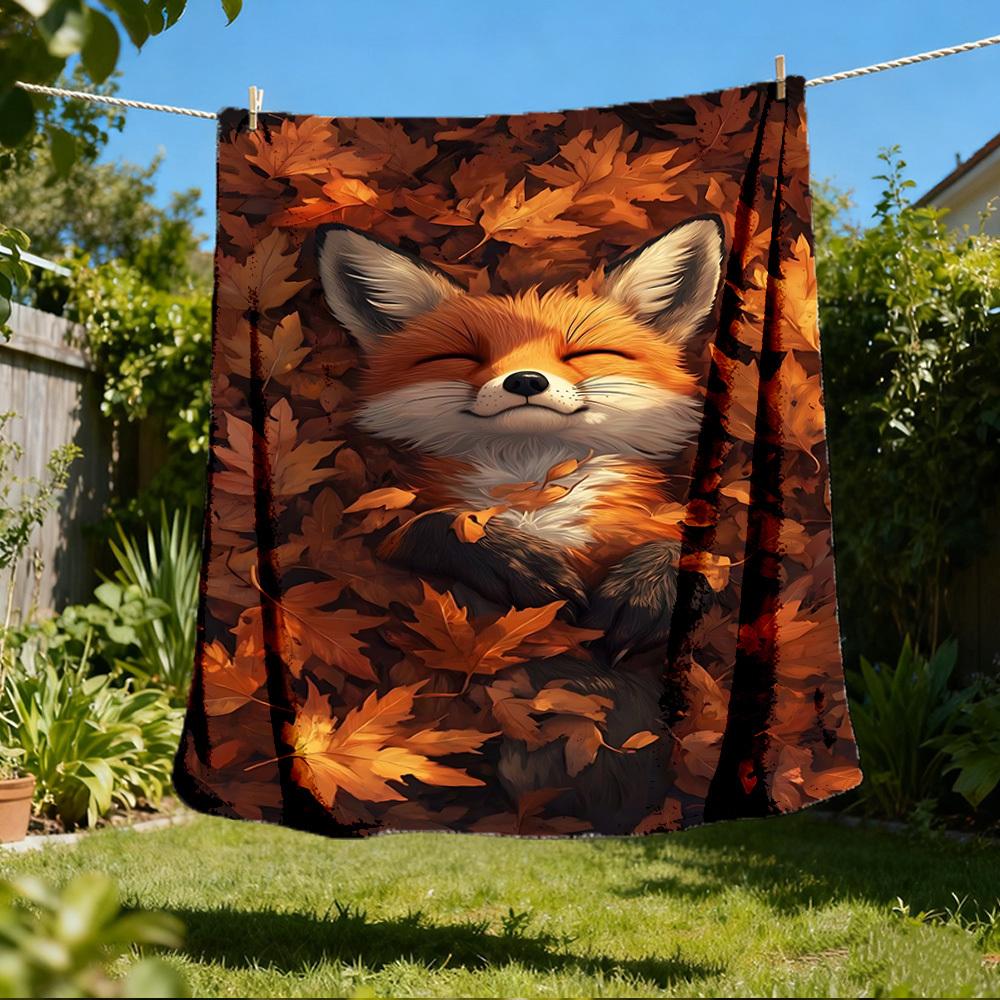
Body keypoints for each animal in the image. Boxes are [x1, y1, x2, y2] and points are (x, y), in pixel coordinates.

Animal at [315, 217, 725, 831]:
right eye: (463, 354)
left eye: (587, 351)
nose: (525, 380)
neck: (535, 486)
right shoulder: (373, 536)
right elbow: (433, 526)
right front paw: (518, 563)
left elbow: (689, 548)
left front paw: (643, 592)